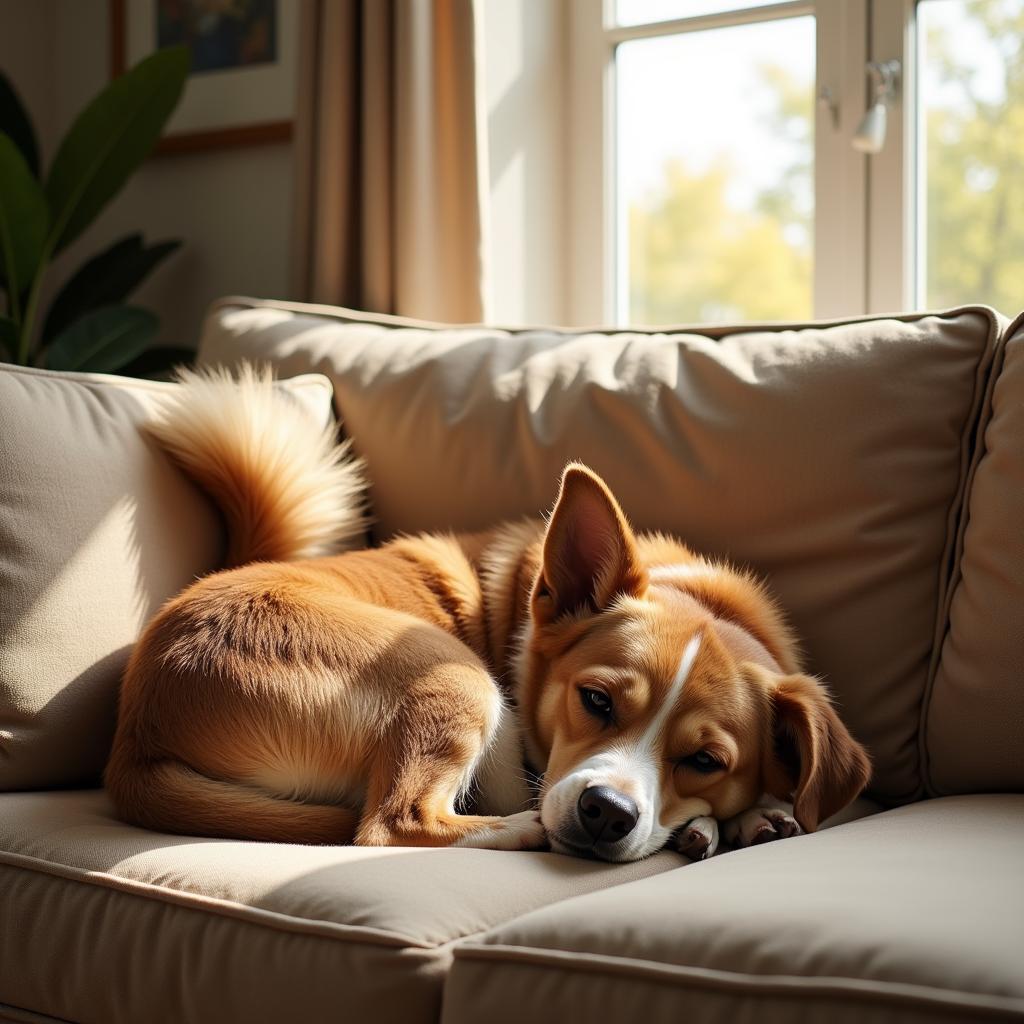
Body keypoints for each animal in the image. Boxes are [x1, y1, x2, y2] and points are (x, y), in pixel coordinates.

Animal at [105, 368, 872, 864]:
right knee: (390, 824)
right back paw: (518, 829)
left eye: (706, 761)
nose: (605, 814)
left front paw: (750, 817)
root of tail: (137, 738)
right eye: (595, 701)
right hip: (454, 674)